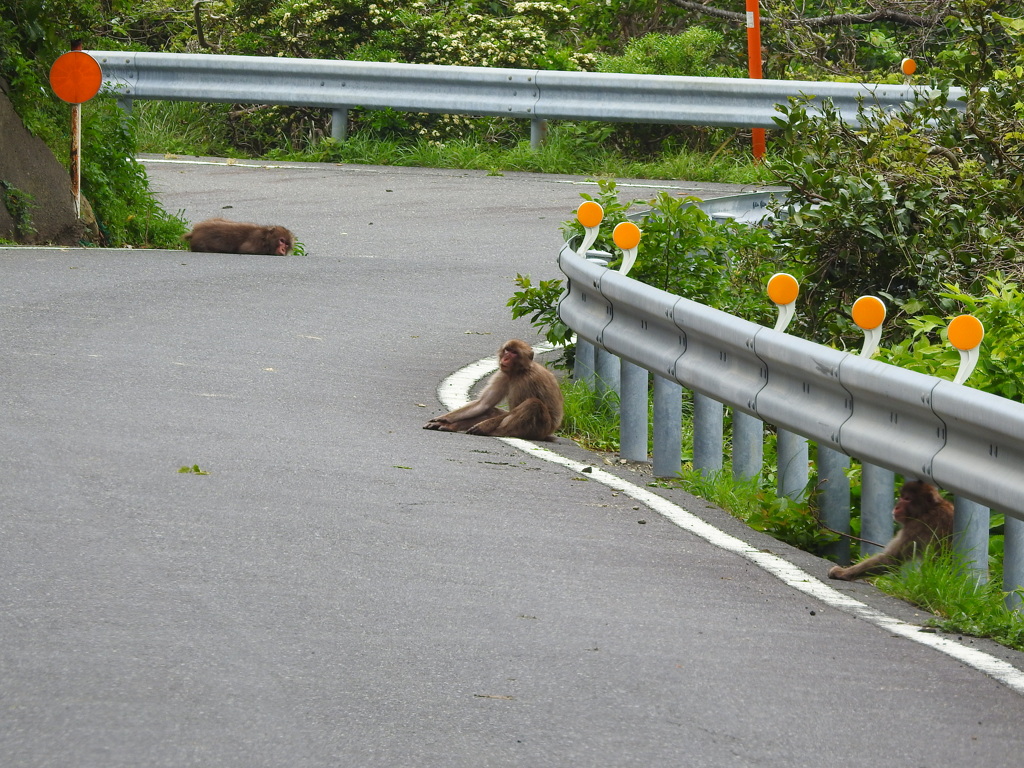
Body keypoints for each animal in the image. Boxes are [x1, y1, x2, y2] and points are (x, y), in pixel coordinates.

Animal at [425, 342, 569, 442]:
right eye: (507, 350)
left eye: (514, 353)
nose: (505, 359)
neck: (520, 371)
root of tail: (551, 431)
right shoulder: (502, 375)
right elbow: (483, 404)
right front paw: (445, 419)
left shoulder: (527, 381)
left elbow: (516, 408)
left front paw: (484, 426)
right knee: (491, 411)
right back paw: (453, 426)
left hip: (541, 429)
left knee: (533, 404)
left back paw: (496, 432)